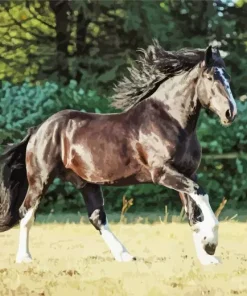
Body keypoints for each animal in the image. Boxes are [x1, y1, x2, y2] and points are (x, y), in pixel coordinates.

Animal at [0, 40, 236, 264]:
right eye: (210, 77)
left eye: (227, 77)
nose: (230, 112)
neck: (171, 120)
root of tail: (38, 130)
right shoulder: (163, 173)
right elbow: (200, 195)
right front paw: (211, 245)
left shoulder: (188, 172)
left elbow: (193, 215)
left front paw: (207, 257)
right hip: (40, 180)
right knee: (26, 213)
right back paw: (24, 257)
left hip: (86, 183)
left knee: (97, 217)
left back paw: (124, 255)